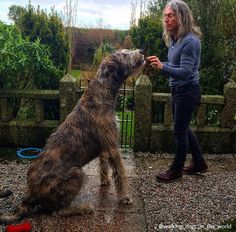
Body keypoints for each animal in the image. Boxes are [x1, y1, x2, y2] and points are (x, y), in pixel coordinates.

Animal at [0, 48, 145, 223]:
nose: (141, 51)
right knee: (56, 211)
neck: (101, 93)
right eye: (124, 54)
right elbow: (120, 173)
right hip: (76, 174)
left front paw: (105, 182)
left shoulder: (105, 145)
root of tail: (30, 194)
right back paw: (82, 208)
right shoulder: (112, 145)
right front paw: (124, 197)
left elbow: (103, 165)